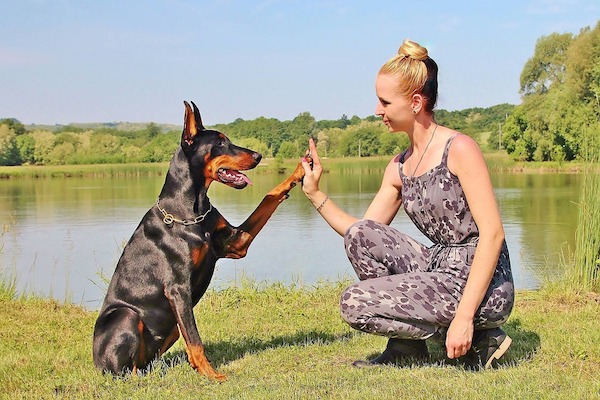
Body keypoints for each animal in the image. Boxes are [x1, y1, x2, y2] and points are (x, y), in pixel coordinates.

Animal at [94, 101, 310, 382]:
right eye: (220, 143)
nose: (258, 156)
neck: (192, 211)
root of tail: (96, 362)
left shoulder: (235, 243)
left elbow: (269, 196)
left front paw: (300, 169)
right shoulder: (178, 289)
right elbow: (196, 340)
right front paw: (213, 375)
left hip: (171, 327)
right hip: (126, 315)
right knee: (125, 372)